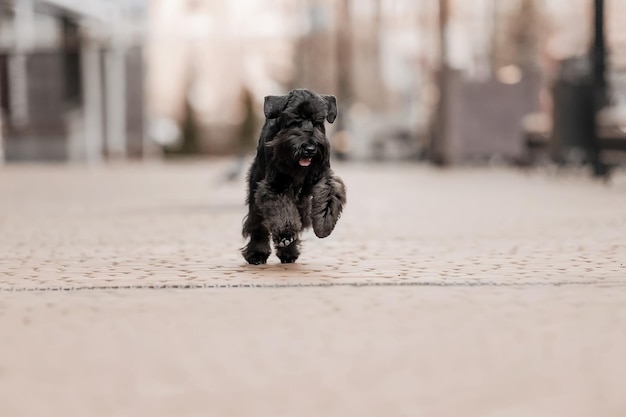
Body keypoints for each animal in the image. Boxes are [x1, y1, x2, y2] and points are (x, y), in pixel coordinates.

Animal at [240, 88, 346, 264]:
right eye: (294, 120)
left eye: (318, 122)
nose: (310, 148)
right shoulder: (275, 186)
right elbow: (282, 211)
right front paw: (285, 235)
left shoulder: (324, 178)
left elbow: (329, 196)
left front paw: (324, 224)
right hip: (255, 190)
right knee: (258, 223)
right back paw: (257, 253)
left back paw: (289, 252)